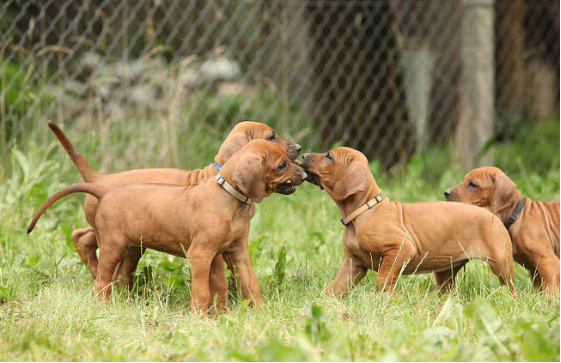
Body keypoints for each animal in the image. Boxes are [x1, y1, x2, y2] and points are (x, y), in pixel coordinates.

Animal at [28, 140, 304, 316]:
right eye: (282, 165)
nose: (303, 175)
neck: (230, 197)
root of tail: (105, 189)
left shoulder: (234, 253)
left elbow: (248, 286)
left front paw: (262, 315)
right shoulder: (200, 254)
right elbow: (203, 291)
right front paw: (199, 318)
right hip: (113, 246)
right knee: (101, 282)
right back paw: (103, 307)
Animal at [48, 121, 302, 286]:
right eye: (271, 137)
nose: (299, 148)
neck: (220, 175)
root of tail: (100, 180)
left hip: (124, 236)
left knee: (82, 237)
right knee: (86, 242)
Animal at [300, 149, 516, 298]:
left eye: (329, 156)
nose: (303, 154)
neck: (365, 211)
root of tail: (490, 213)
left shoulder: (401, 249)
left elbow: (382, 281)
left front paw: (395, 299)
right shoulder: (353, 264)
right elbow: (334, 289)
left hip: (501, 264)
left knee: (511, 289)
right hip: (446, 271)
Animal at [444, 167, 556, 296]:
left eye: (472, 184)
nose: (446, 192)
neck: (517, 216)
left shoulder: (549, 262)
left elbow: (551, 289)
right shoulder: (534, 270)